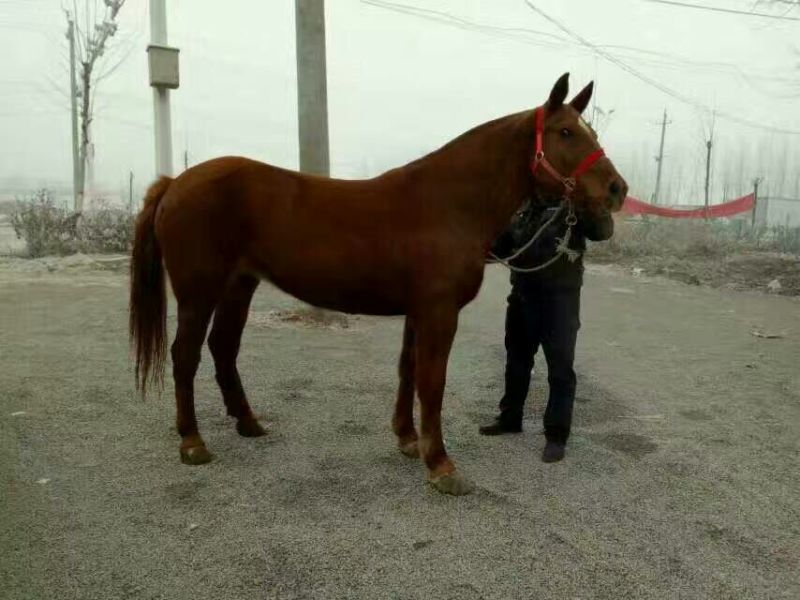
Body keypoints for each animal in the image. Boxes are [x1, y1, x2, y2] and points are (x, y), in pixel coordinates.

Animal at [129, 73, 627, 495]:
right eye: (566, 132)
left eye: (591, 133)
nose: (617, 190)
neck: (448, 204)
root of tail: (176, 182)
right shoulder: (438, 312)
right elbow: (432, 381)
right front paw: (441, 465)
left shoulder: (418, 311)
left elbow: (408, 370)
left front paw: (408, 440)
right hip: (198, 291)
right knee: (186, 355)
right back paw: (193, 443)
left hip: (239, 285)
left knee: (223, 348)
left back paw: (248, 423)